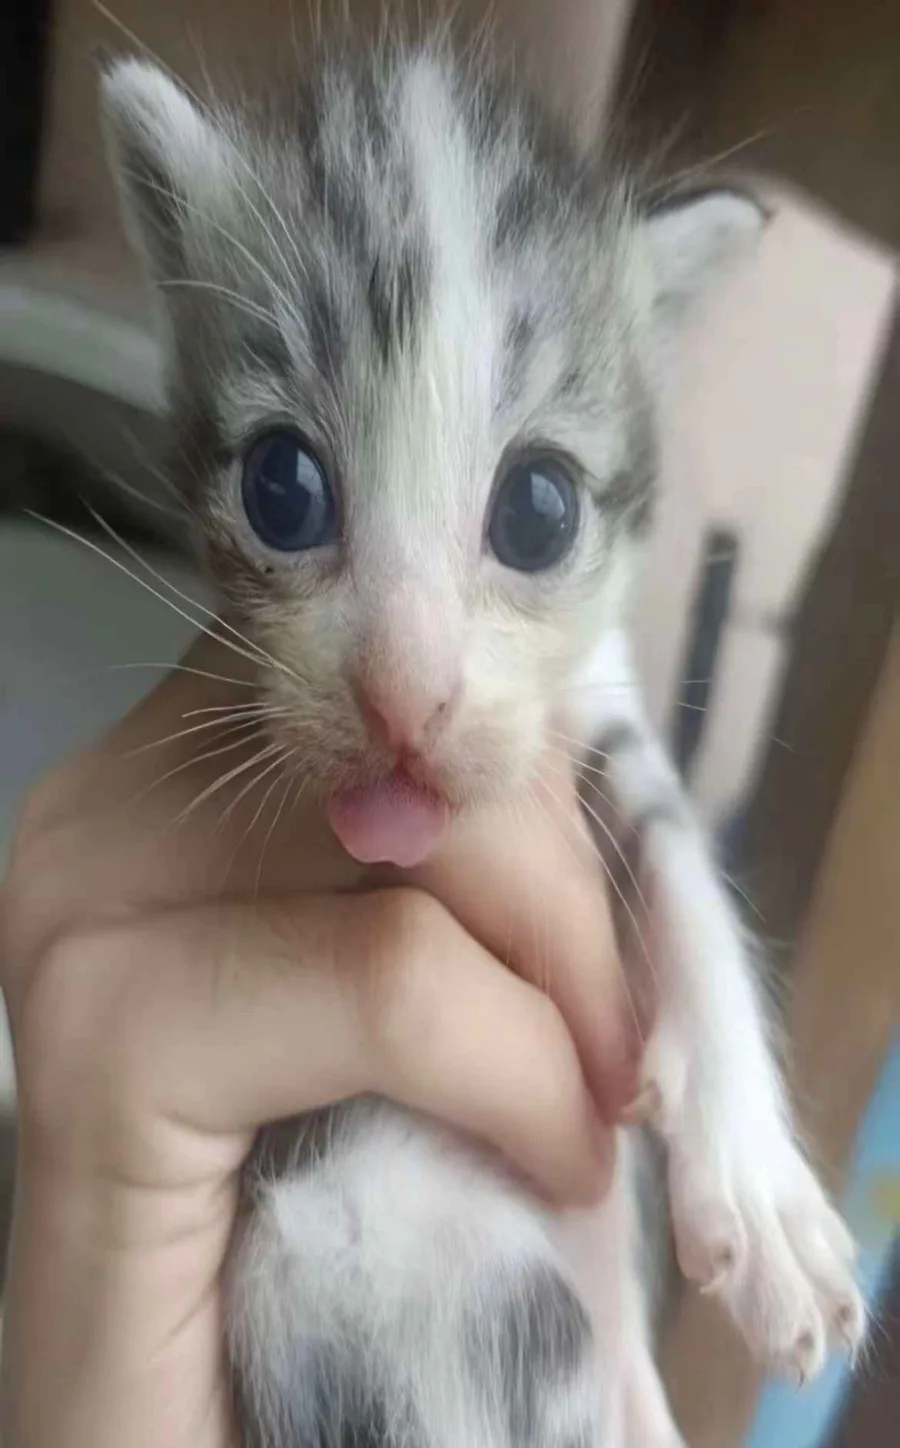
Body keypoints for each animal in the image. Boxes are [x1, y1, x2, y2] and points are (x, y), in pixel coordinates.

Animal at [100, 34, 864, 1448]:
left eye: (539, 509)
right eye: (282, 487)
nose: (404, 697)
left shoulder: (607, 706)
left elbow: (687, 873)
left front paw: (758, 1183)